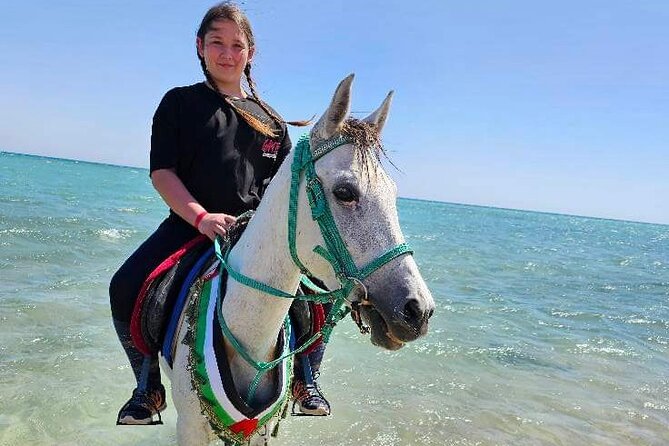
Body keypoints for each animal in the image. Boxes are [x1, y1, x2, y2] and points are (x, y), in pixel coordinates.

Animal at [160, 74, 435, 445]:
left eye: (392, 194)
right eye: (344, 192)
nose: (418, 310)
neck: (248, 334)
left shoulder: (260, 431)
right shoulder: (190, 426)